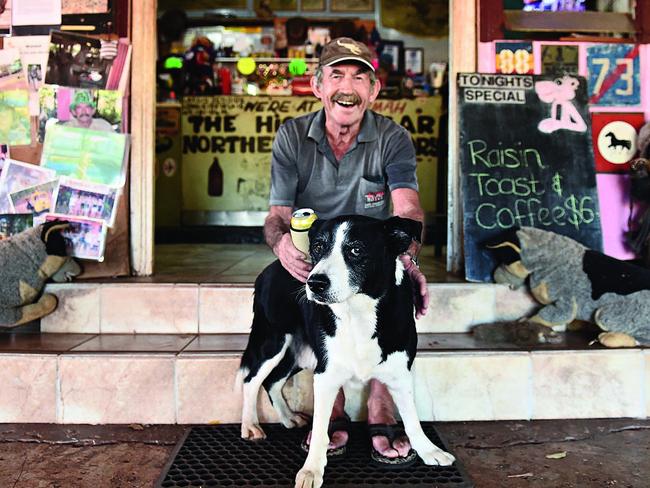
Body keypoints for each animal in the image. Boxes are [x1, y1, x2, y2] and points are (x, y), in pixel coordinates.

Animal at [235, 215, 454, 486]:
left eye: (356, 250)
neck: (358, 311)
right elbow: (320, 429)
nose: (314, 283)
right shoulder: (325, 375)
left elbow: (412, 418)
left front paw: (429, 450)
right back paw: (250, 425)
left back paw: (288, 418)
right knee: (251, 380)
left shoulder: (400, 372)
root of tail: (269, 269)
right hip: (273, 341)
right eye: (318, 247)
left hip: (301, 353)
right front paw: (312, 470)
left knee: (273, 381)